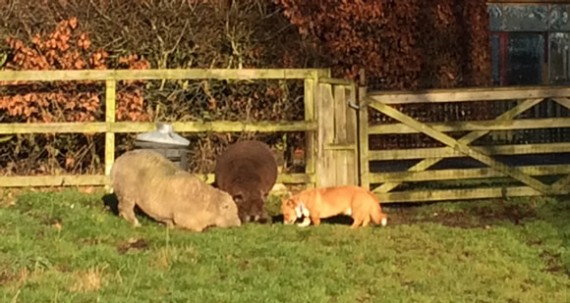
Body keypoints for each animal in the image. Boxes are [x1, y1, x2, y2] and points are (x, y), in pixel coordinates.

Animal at [110, 150, 241, 233]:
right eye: (228, 208)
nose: (239, 224)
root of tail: (118, 160)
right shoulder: (185, 217)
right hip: (127, 192)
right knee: (126, 208)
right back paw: (136, 223)